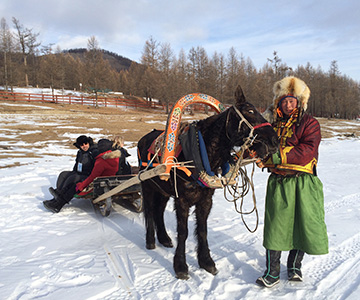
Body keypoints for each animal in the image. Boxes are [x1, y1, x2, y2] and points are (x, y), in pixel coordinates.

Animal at [138, 85, 278, 278]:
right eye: (250, 111)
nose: (275, 140)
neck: (196, 154)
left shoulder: (205, 200)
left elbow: (202, 231)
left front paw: (206, 261)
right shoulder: (182, 201)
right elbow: (183, 232)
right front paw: (180, 266)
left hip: (163, 190)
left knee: (158, 211)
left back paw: (164, 238)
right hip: (148, 187)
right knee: (151, 211)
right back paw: (151, 240)